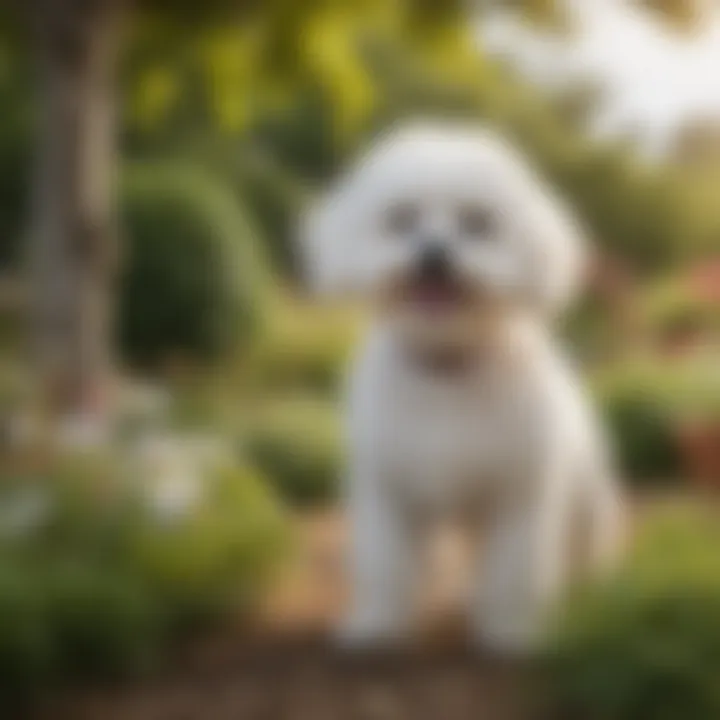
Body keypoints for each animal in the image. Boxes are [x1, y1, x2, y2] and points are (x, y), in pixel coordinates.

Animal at [300, 122, 620, 652]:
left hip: (584, 503)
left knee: (584, 554)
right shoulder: (389, 491)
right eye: (402, 219)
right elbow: (384, 563)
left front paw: (513, 630)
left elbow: (514, 570)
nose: (434, 254)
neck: (447, 367)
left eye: (478, 223)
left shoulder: (518, 495)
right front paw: (377, 624)